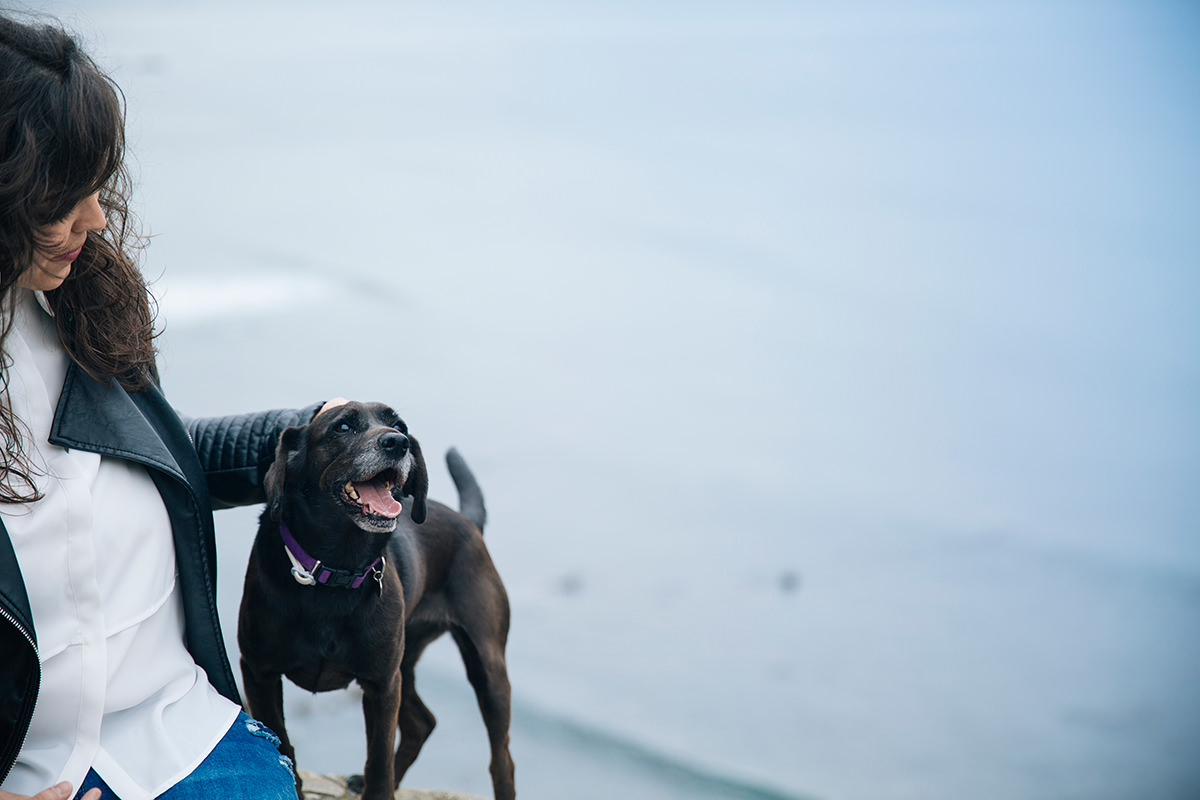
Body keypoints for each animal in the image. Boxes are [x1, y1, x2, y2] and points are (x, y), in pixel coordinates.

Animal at [236, 402, 513, 800]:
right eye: (342, 427)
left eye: (400, 425)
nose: (398, 443)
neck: (334, 569)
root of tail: (467, 522)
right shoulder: (259, 673)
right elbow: (283, 745)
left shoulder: (381, 684)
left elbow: (379, 758)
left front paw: (378, 786)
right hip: (405, 663)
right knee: (421, 723)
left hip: (485, 666)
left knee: (501, 759)